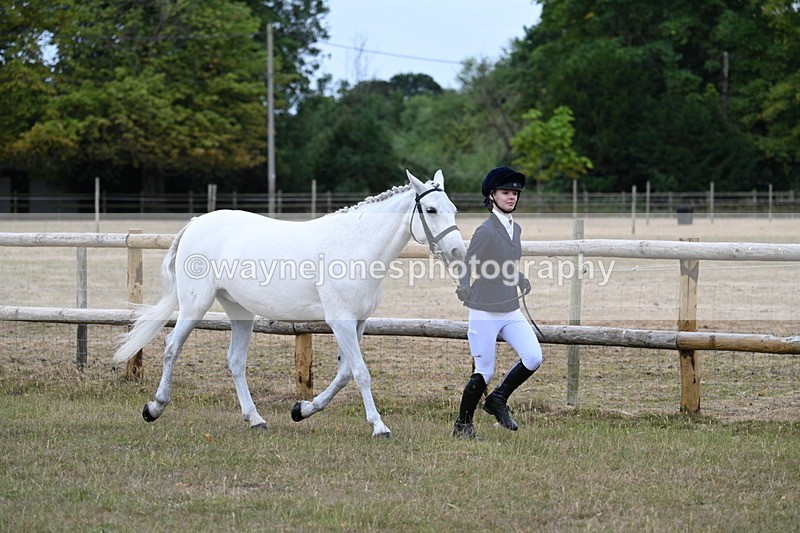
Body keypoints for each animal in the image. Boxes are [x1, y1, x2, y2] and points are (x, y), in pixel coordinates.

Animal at [113, 169, 466, 437]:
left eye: (453, 208)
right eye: (431, 210)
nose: (457, 252)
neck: (355, 246)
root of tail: (196, 222)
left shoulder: (358, 323)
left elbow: (344, 374)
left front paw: (302, 410)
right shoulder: (340, 322)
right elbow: (361, 373)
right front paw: (379, 426)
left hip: (241, 312)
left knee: (235, 361)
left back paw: (255, 419)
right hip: (194, 305)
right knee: (172, 346)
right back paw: (154, 408)